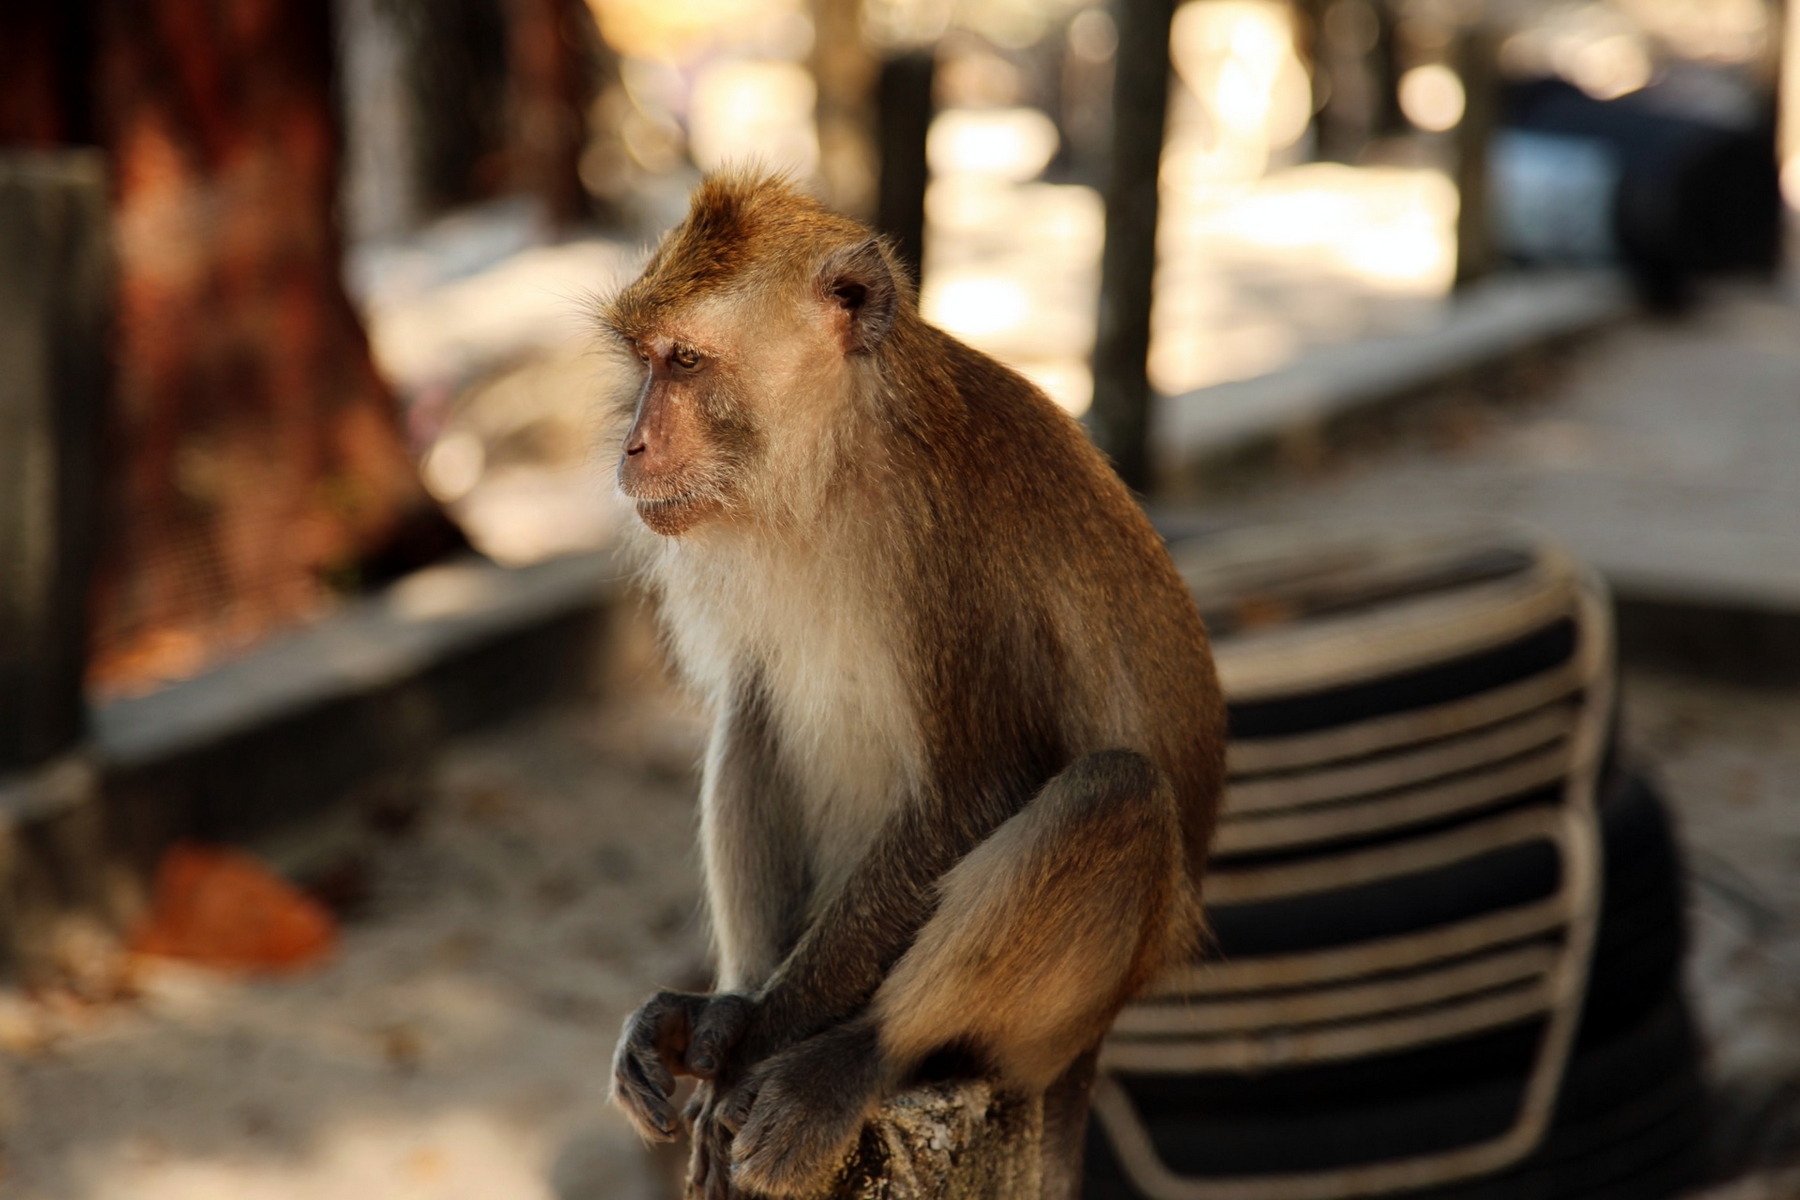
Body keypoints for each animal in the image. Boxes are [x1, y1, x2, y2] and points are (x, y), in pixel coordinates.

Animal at [608, 170, 1224, 1200]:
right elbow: (760, 702)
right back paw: (728, 1003)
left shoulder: (947, 542)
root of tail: (1099, 1038)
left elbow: (973, 790)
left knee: (1115, 798)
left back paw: (854, 1054)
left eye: (686, 361)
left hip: (1073, 1009)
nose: (632, 448)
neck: (841, 453)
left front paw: (756, 1045)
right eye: (645, 361)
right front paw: (728, 1025)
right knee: (754, 712)